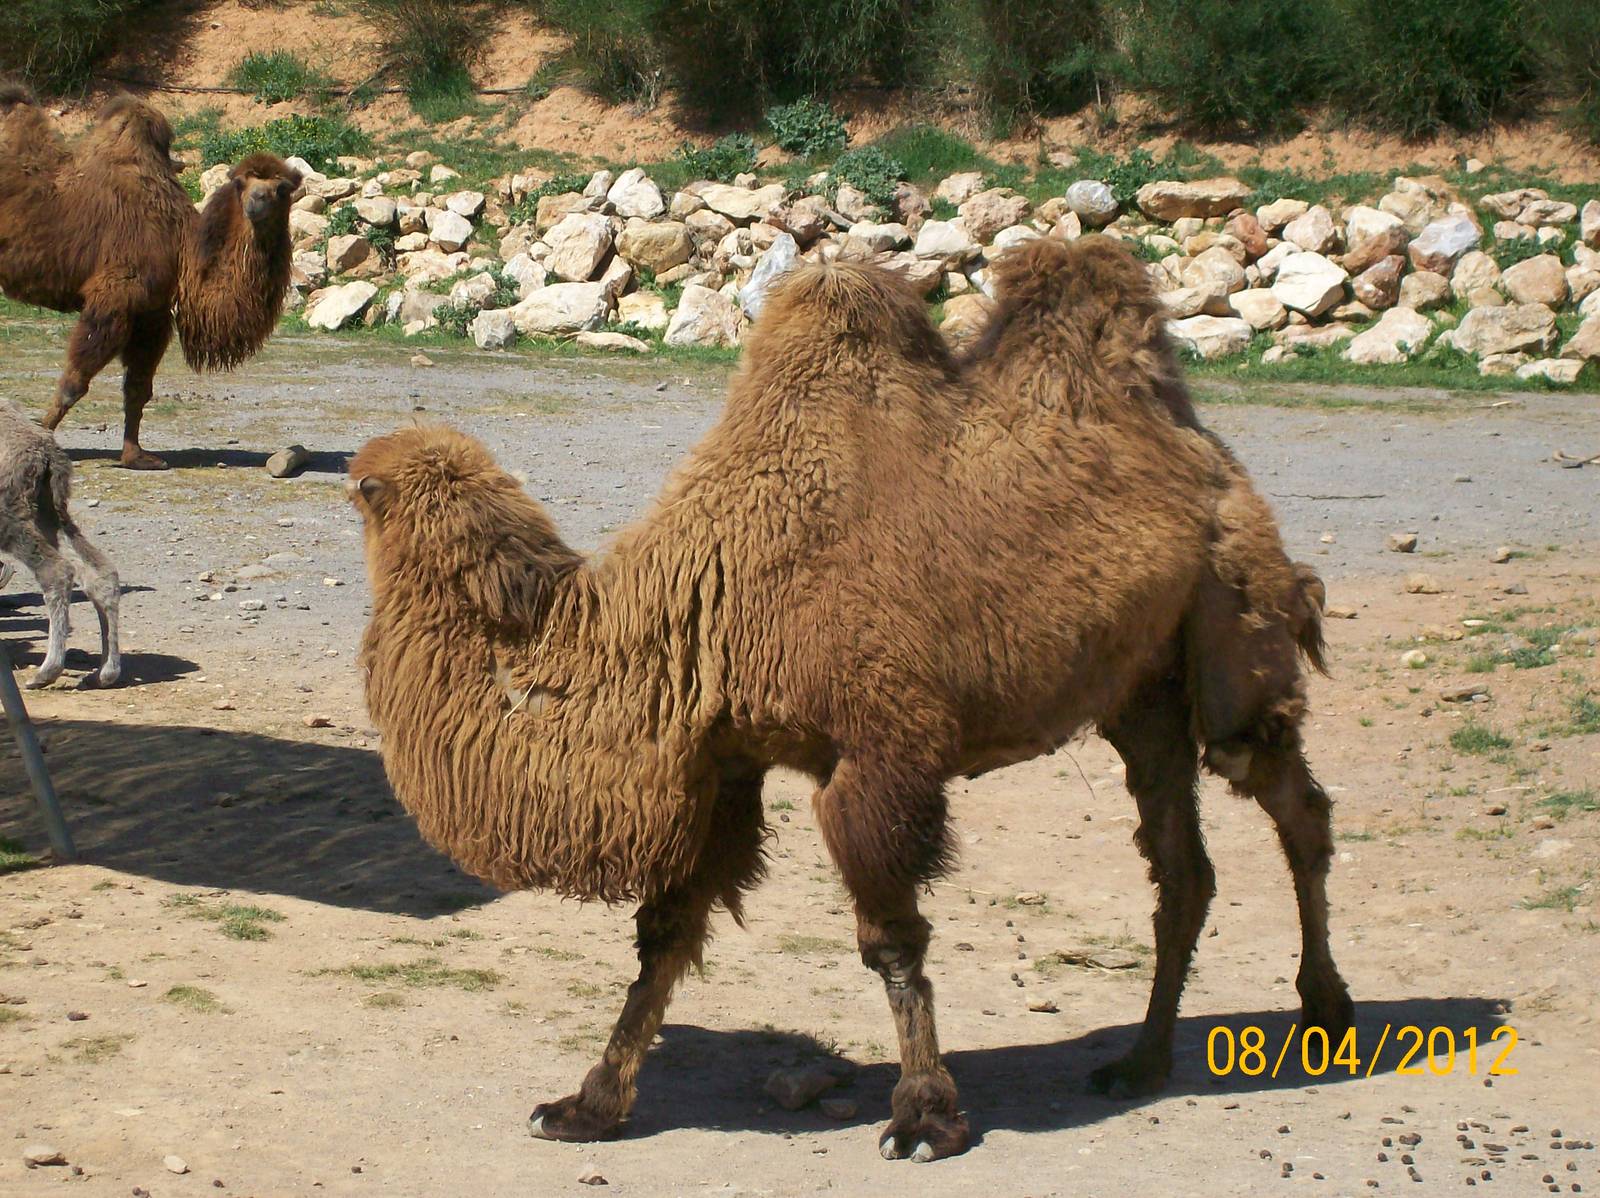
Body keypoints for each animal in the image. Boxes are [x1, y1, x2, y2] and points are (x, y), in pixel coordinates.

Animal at [0, 83, 299, 470]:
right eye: (240, 183)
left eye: (282, 189)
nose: (256, 202)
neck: (180, 247)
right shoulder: (116, 295)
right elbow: (75, 381)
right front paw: (41, 435)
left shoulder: (151, 313)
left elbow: (138, 389)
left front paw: (136, 456)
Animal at [0, 399, 120, 688]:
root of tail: (47, 451)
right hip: (49, 506)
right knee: (99, 571)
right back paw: (105, 673)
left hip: (10, 509)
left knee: (56, 570)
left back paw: (45, 672)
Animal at [349, 236, 1351, 1162]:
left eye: (364, 484)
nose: (341, 471)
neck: (697, 608)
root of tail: (1199, 444)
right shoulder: (728, 761)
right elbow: (664, 937)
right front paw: (586, 1106)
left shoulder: (878, 753)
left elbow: (892, 940)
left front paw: (925, 1117)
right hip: (1140, 693)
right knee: (1183, 867)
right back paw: (1142, 1061)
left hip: (1232, 620)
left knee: (1288, 796)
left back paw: (1327, 1014)